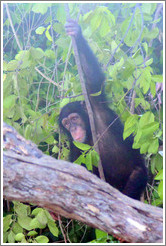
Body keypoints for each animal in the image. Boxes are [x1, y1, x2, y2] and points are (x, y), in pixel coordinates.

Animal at [58, 19, 148, 200]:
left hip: (138, 175)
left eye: (74, 118)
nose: (73, 129)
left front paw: (76, 32)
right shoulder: (75, 148)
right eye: (66, 123)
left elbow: (93, 79)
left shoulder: (96, 104)